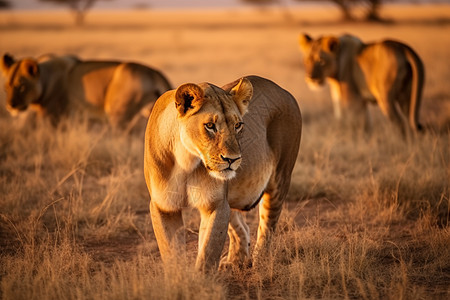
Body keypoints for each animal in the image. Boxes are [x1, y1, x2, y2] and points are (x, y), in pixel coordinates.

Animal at [0, 53, 172, 129]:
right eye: (6, 87)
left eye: (21, 86)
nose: (10, 106)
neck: (45, 78)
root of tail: (155, 73)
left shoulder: (51, 115)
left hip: (117, 113)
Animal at [144, 75, 302, 272]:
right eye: (210, 126)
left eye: (238, 125)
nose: (232, 159)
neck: (186, 161)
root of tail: (285, 92)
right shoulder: (164, 206)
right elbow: (172, 256)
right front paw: (179, 279)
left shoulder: (215, 205)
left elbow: (207, 255)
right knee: (241, 227)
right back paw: (233, 261)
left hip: (279, 179)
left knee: (267, 228)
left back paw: (261, 265)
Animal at [298, 33, 426, 139]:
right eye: (306, 60)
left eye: (321, 60)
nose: (310, 77)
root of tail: (402, 47)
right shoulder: (356, 99)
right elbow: (366, 121)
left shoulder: (353, 99)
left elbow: (357, 121)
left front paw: (356, 139)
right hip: (407, 95)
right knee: (409, 119)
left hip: (385, 97)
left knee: (399, 122)